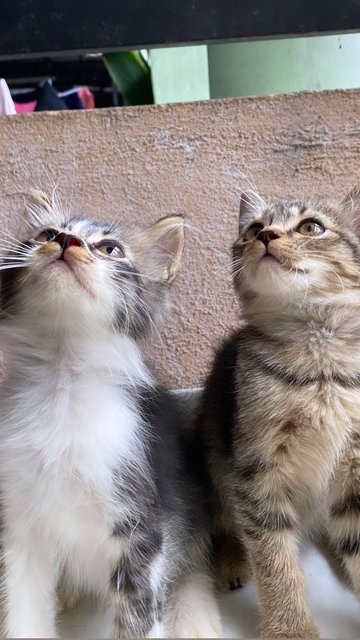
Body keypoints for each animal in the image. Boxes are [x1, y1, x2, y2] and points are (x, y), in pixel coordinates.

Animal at [198, 188, 360, 636]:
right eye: (254, 228)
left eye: (312, 227)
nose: (265, 236)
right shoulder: (256, 470)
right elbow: (273, 555)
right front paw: (291, 629)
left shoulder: (355, 468)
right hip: (215, 457)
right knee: (226, 521)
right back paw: (232, 559)